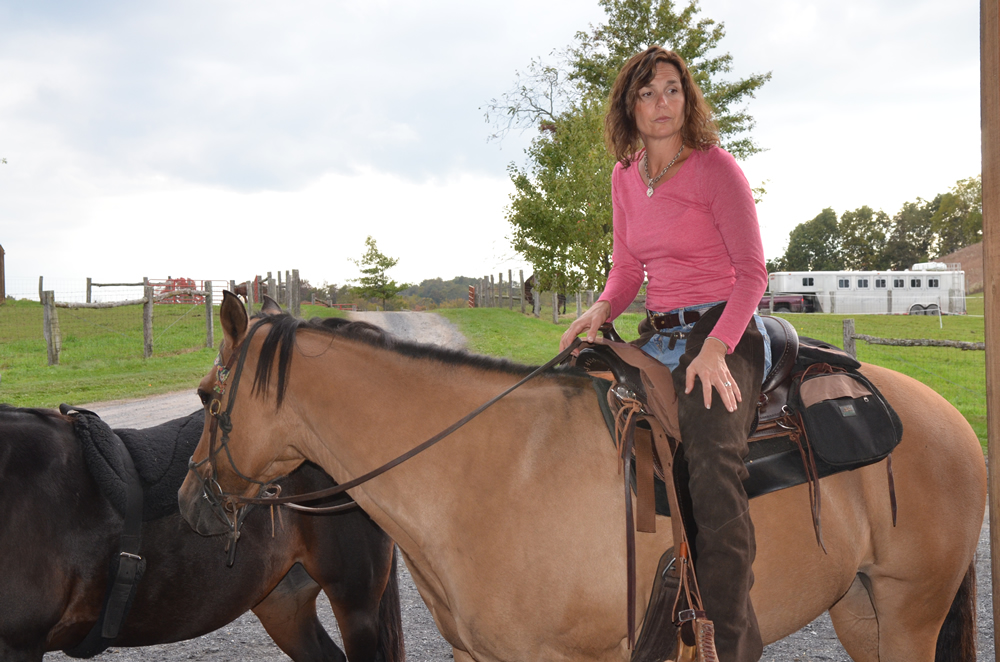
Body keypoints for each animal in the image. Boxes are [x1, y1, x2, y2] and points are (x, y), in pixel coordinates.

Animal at [180, 290, 986, 662]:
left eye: (207, 396)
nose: (189, 504)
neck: (482, 473)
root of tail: (948, 418)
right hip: (860, 609)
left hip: (910, 612)